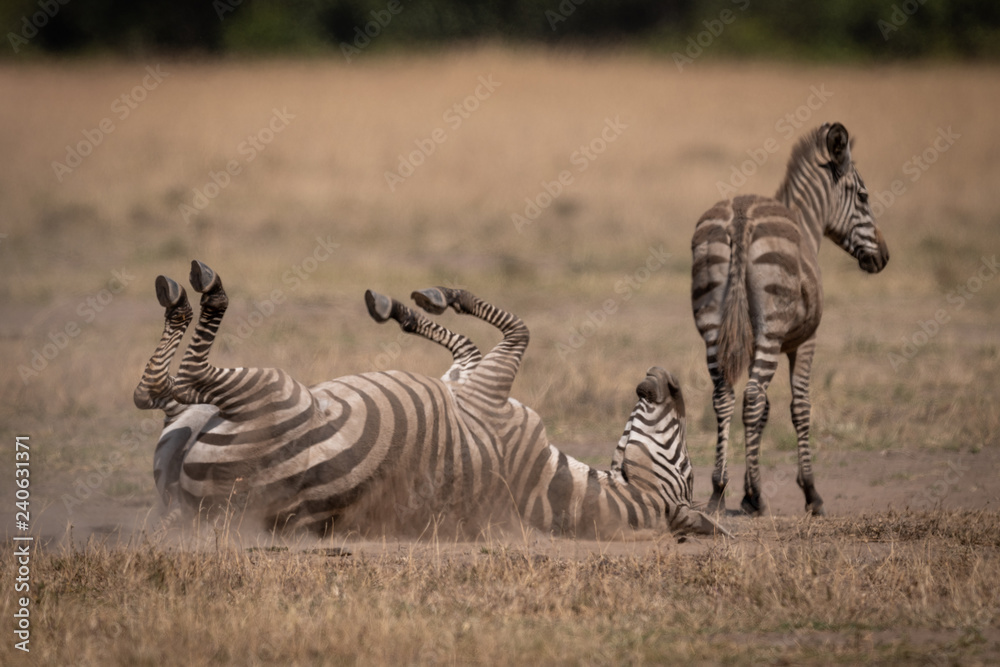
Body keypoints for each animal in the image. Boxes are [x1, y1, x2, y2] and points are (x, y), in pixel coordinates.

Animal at [365, 289, 729, 538]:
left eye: (687, 471)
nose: (669, 377)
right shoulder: (467, 380)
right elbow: (471, 342)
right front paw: (416, 307)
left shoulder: (488, 387)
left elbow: (517, 328)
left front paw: (442, 298)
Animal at [690, 122, 889, 517]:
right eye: (863, 196)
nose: (884, 258)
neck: (807, 226)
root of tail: (740, 216)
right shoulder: (804, 342)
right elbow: (799, 407)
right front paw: (810, 493)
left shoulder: (751, 340)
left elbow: (765, 412)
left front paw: (746, 492)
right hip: (770, 328)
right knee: (751, 397)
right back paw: (753, 495)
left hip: (714, 326)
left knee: (725, 396)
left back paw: (718, 491)